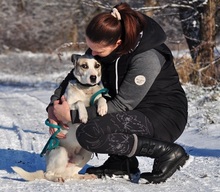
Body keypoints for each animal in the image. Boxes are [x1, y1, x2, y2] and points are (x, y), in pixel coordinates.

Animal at [12, 53, 108, 182]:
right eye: (84, 66)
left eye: (97, 65)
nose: (93, 77)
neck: (86, 89)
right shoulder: (67, 105)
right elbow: (79, 102)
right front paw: (83, 115)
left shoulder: (96, 97)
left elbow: (101, 98)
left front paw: (102, 108)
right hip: (61, 151)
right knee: (48, 175)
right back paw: (56, 178)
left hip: (86, 153)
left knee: (72, 174)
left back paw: (85, 176)